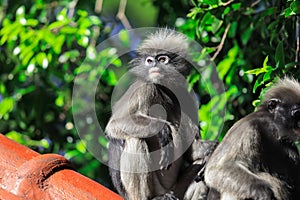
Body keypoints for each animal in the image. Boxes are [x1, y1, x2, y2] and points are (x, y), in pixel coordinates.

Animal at [105, 28, 216, 200]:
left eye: (162, 59)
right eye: (150, 61)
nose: (155, 65)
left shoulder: (187, 94)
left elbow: (192, 152)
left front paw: (212, 148)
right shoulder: (144, 87)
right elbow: (114, 125)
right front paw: (163, 130)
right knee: (135, 139)